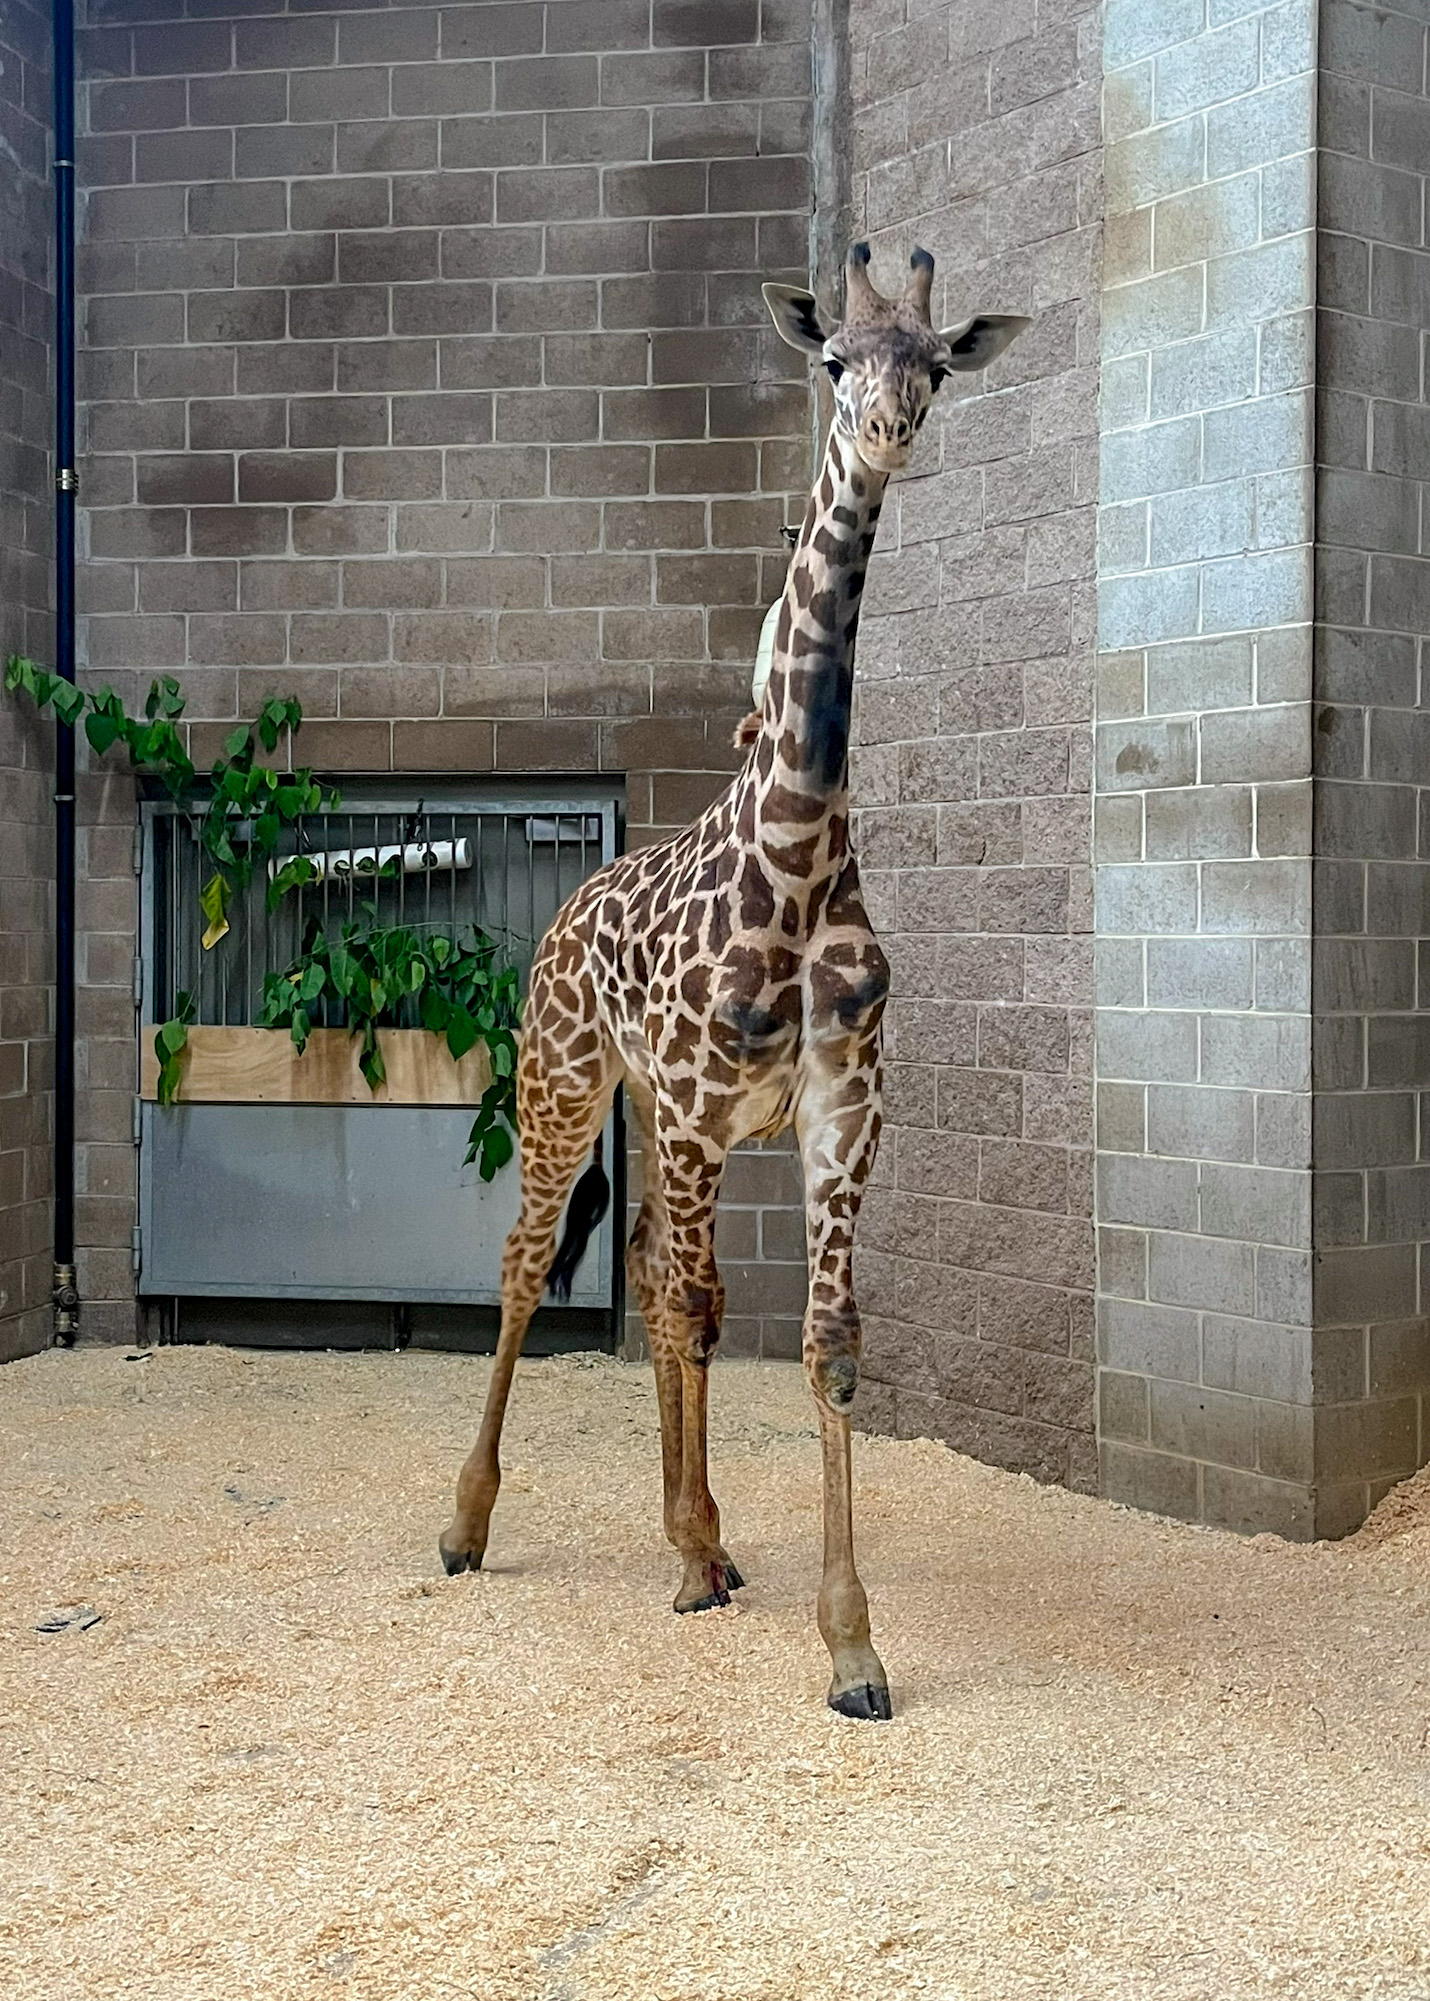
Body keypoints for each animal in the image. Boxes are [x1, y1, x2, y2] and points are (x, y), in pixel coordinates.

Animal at [440, 242, 1032, 1720]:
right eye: (833, 359)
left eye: (935, 364)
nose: (884, 429)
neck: (802, 840)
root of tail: (563, 912)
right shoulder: (709, 1105)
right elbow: (691, 1313)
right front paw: (714, 1565)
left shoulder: (839, 1109)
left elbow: (823, 1343)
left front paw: (848, 1645)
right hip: (564, 1080)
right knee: (537, 1263)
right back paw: (469, 1524)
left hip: (650, 1117)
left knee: (659, 1270)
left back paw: (695, 1538)